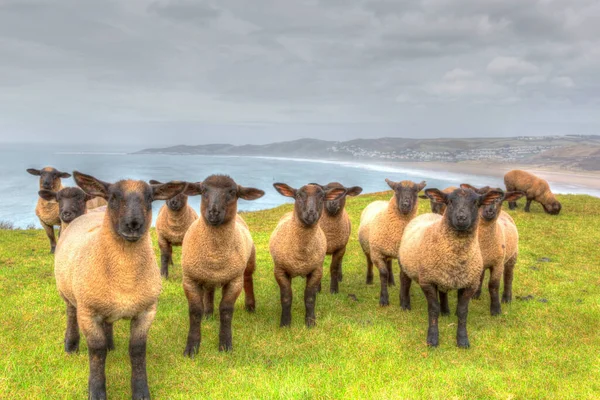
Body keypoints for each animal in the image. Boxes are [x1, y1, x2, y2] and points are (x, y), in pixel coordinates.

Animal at [54, 171, 186, 400]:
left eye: (150, 199)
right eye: (113, 197)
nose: (133, 224)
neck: (124, 278)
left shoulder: (146, 311)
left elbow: (137, 350)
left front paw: (141, 391)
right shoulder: (88, 312)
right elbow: (96, 352)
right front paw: (96, 391)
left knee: (107, 322)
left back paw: (110, 345)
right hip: (68, 292)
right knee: (70, 314)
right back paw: (71, 345)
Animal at [178, 175, 262, 356]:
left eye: (232, 192)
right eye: (203, 190)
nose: (213, 212)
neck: (215, 255)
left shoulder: (234, 281)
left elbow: (226, 310)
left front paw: (225, 344)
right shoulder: (190, 279)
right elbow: (195, 312)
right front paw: (192, 348)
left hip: (248, 262)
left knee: (248, 279)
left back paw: (250, 306)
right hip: (207, 276)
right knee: (209, 291)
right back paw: (208, 313)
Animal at [268, 183, 346, 326]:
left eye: (322, 197)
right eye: (298, 195)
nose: (311, 214)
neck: (301, 254)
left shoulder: (316, 271)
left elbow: (310, 298)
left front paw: (310, 323)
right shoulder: (280, 271)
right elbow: (286, 297)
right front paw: (285, 323)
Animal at [358, 180, 424, 308]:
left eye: (416, 191)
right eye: (397, 190)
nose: (405, 204)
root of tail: (378, 201)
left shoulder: (402, 256)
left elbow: (403, 277)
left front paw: (404, 302)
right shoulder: (377, 253)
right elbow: (383, 273)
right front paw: (384, 299)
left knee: (388, 263)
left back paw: (391, 282)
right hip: (368, 248)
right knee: (369, 262)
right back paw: (369, 280)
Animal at [398, 188, 506, 346]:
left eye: (476, 202)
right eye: (449, 201)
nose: (461, 217)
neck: (456, 257)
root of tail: (428, 214)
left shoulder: (470, 284)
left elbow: (462, 311)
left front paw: (462, 340)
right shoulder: (427, 281)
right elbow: (433, 309)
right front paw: (432, 339)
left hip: (442, 276)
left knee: (443, 292)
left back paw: (446, 311)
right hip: (406, 265)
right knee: (405, 283)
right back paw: (405, 305)